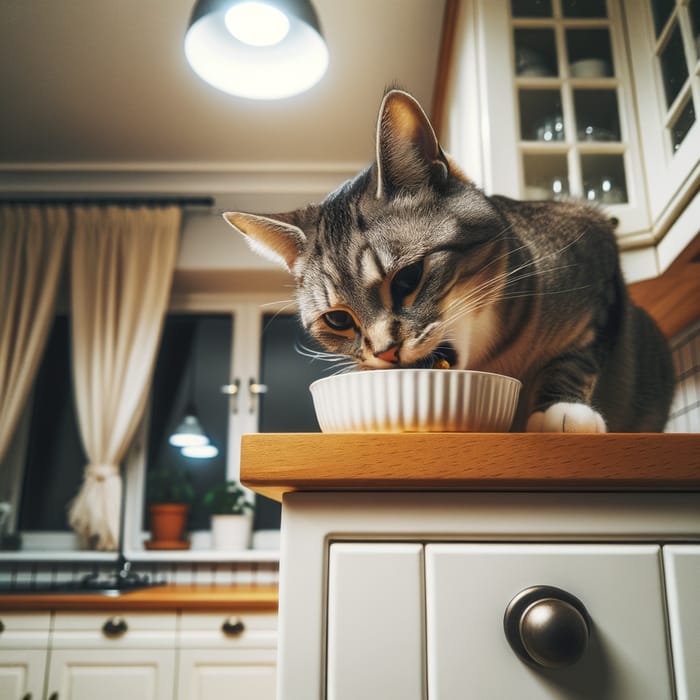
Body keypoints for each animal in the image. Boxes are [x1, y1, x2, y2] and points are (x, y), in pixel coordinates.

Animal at [223, 88, 672, 432]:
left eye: (408, 278)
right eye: (337, 319)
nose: (385, 353)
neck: (496, 355)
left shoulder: (597, 244)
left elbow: (578, 354)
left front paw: (562, 410)